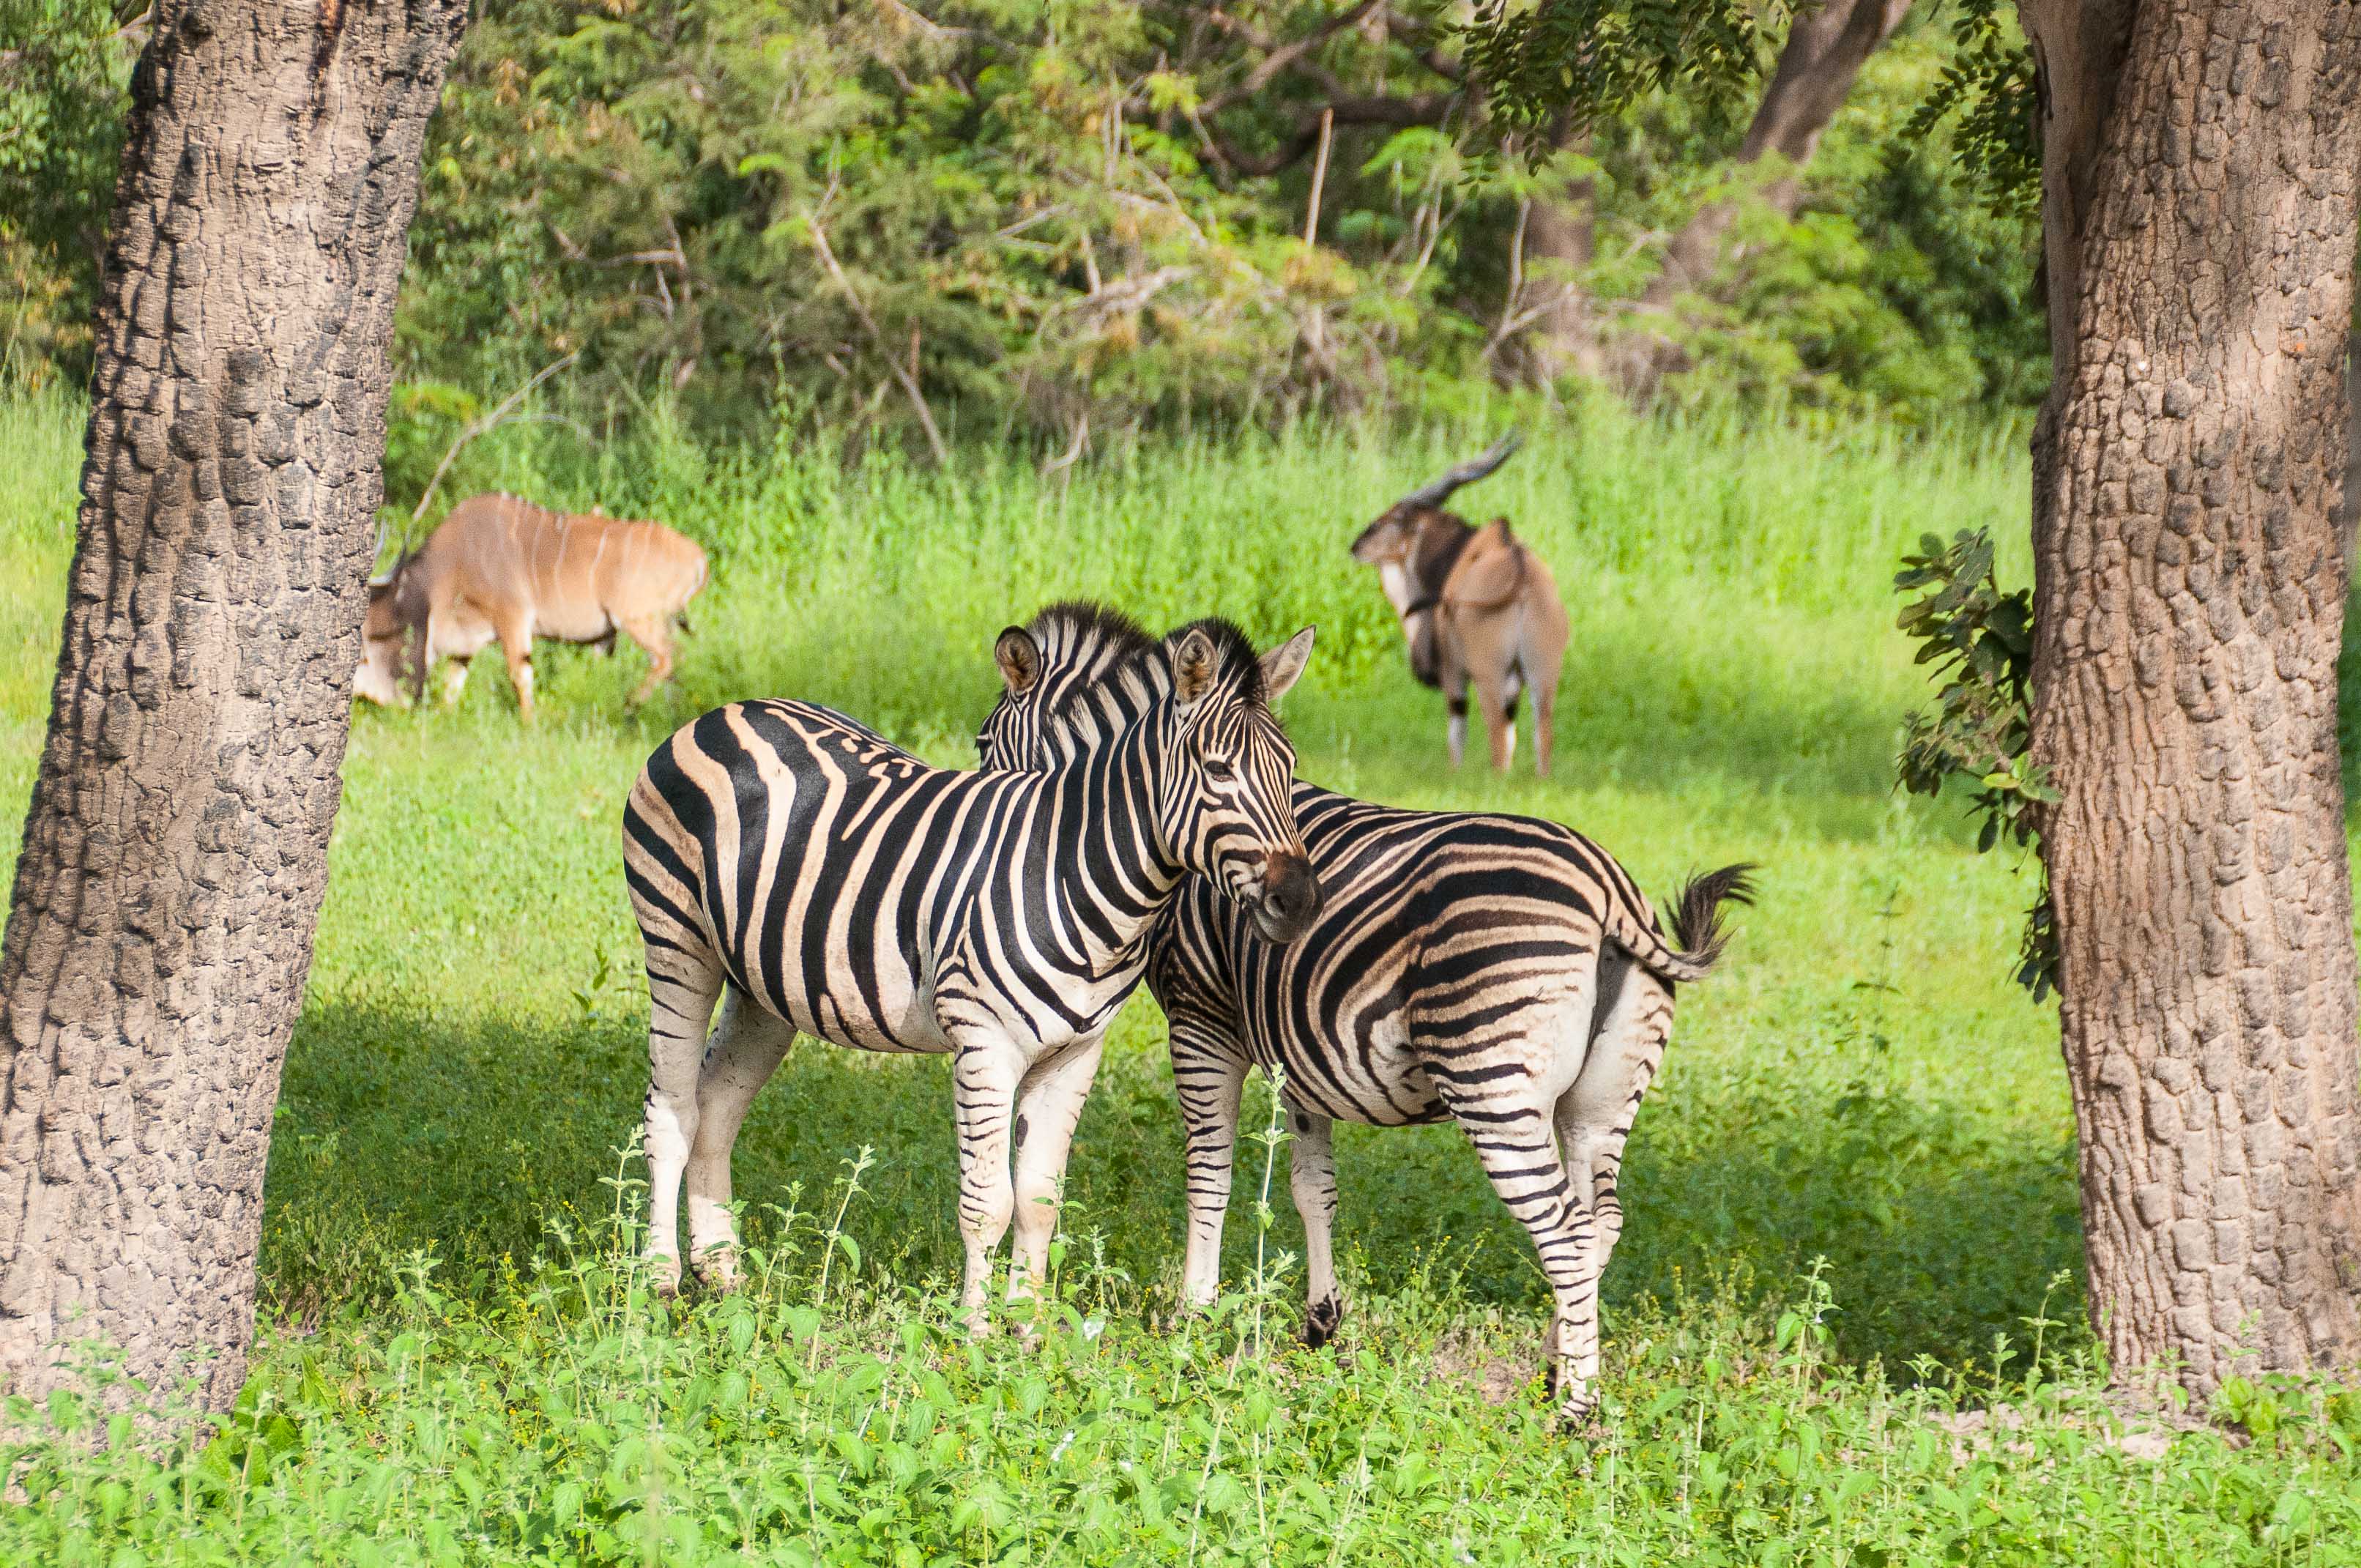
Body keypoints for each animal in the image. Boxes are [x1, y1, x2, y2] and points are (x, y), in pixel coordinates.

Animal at [349, 491, 699, 722]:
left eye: (362, 648)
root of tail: (698, 559)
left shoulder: (513, 617)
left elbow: (520, 675)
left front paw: (530, 724)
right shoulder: (465, 645)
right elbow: (452, 687)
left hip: (638, 619)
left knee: (670, 657)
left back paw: (628, 706)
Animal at [623, 618, 1331, 1312]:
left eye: (1290, 767)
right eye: (1218, 770)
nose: (1300, 902)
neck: (1067, 861)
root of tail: (728, 710)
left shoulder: (1078, 1051)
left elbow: (1040, 1198)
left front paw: (1027, 1327)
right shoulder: (983, 1041)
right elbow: (989, 1201)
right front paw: (973, 1330)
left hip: (765, 984)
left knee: (717, 1106)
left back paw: (723, 1275)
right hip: (678, 943)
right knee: (671, 1110)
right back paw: (658, 1281)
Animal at [977, 597, 1756, 1416]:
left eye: (982, 744)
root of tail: (1608, 889)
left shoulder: (1202, 1021)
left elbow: (1208, 1172)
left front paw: (1194, 1316)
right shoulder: (1297, 1047)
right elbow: (1311, 1185)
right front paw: (1321, 1319)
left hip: (1495, 1087)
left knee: (1568, 1232)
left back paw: (1575, 1407)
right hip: (1599, 1104)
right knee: (1601, 1223)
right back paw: (1556, 1364)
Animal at [1350, 432, 1567, 774]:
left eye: (1396, 516)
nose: (1356, 545)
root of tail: (1521, 577)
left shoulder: (1454, 674)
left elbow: (1457, 737)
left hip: (1489, 675)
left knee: (1497, 735)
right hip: (1542, 674)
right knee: (1541, 735)